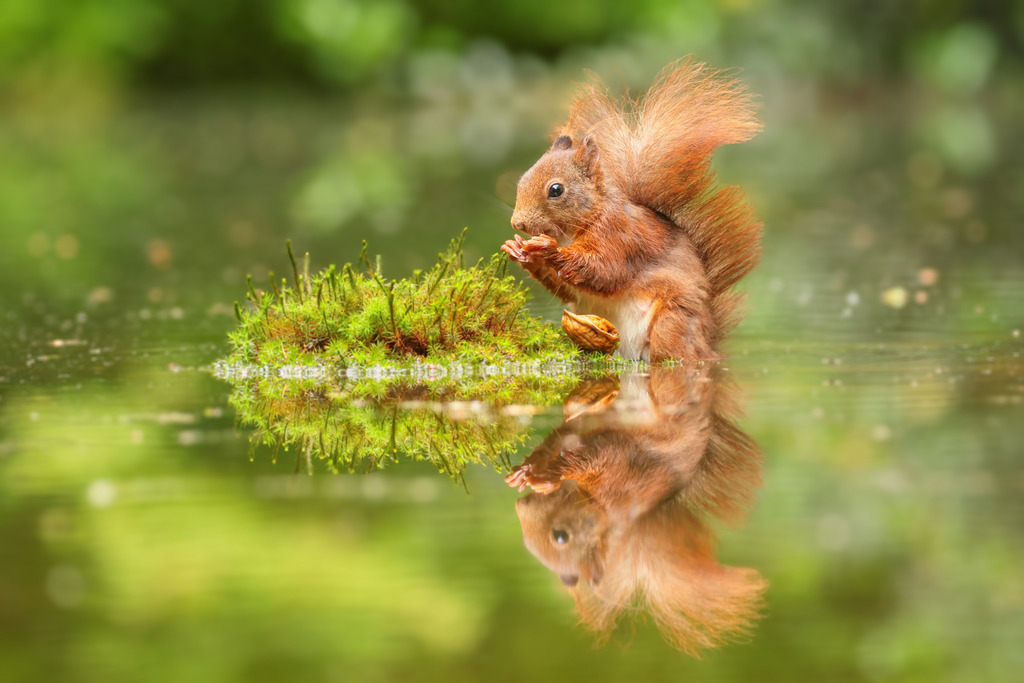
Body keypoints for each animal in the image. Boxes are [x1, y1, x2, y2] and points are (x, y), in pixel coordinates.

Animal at [501, 59, 761, 362]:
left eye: (556, 190)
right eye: (522, 178)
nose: (518, 223)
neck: (581, 224)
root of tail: (709, 343)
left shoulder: (621, 237)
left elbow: (603, 271)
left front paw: (548, 249)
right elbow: (564, 287)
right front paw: (519, 250)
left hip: (672, 321)